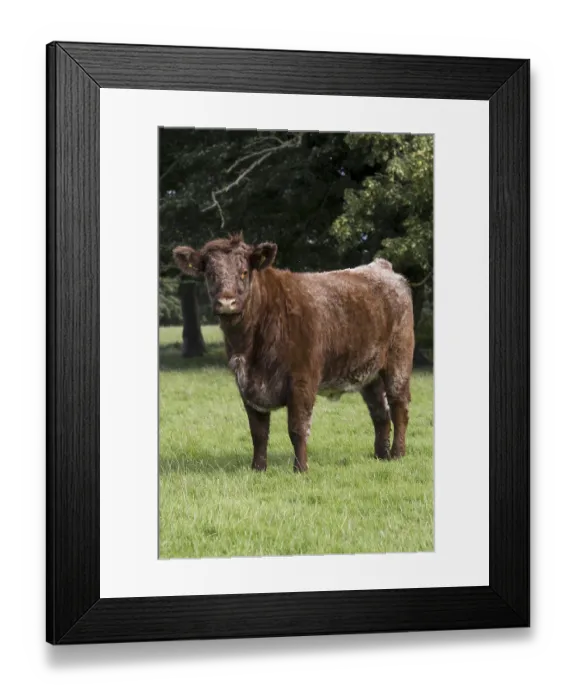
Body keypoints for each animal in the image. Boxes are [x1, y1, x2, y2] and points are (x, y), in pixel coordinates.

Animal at [173, 233, 415, 473]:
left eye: (243, 272)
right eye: (210, 274)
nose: (226, 302)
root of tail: (380, 266)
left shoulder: (302, 380)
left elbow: (297, 428)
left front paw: (301, 469)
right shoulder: (246, 385)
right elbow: (258, 432)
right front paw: (258, 468)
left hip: (398, 362)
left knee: (399, 407)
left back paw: (397, 454)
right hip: (369, 373)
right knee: (380, 413)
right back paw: (380, 456)